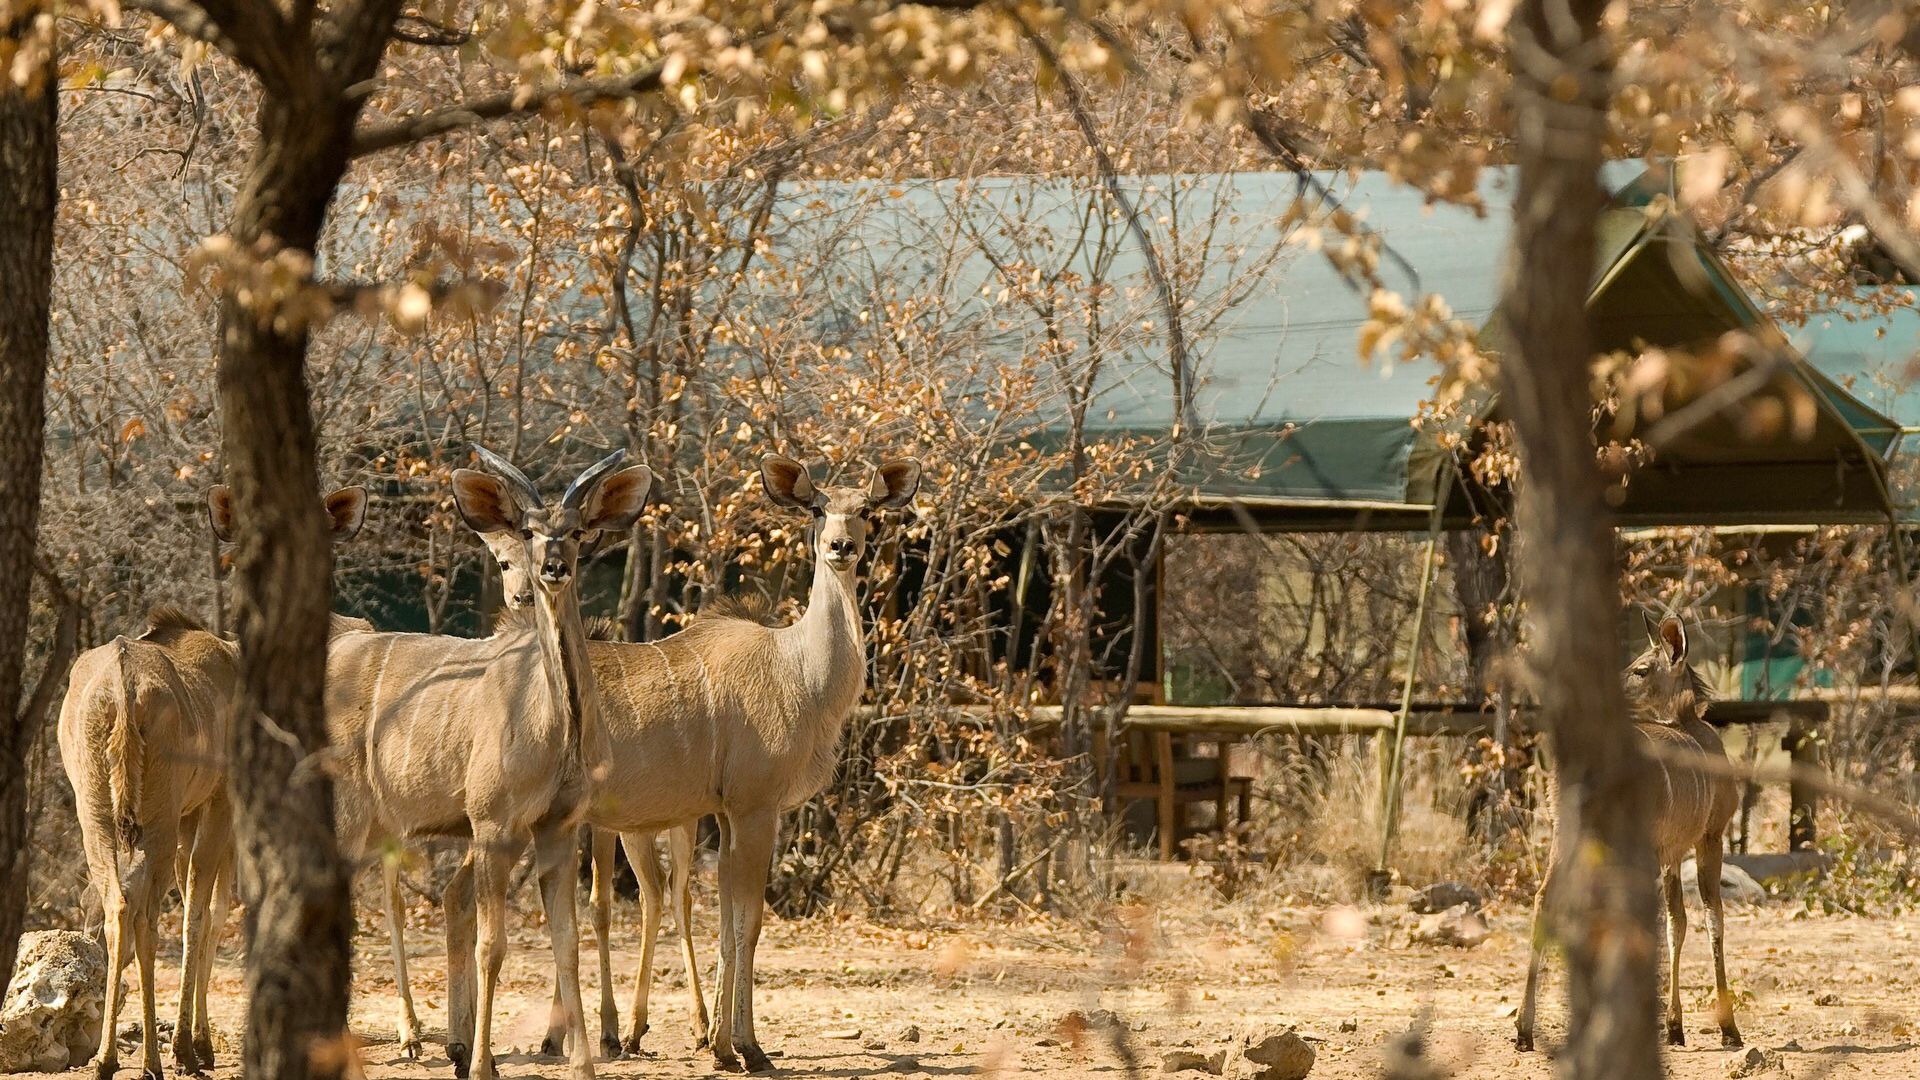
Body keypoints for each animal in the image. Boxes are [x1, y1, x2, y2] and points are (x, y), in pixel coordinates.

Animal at [60, 488, 366, 1076]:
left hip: (100, 814)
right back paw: (155, 1059)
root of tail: (123, 690)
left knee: (116, 905)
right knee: (148, 909)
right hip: (155, 817)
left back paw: (107, 1057)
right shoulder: (218, 804)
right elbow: (206, 911)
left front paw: (196, 1041)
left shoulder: (190, 814)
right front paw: (193, 1046)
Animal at [328, 445, 652, 1076]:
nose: (552, 569)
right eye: (527, 531)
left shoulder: (557, 828)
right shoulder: (493, 824)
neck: (555, 727)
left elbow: (566, 943)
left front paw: (581, 1062)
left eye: (578, 531)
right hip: (350, 820)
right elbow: (492, 945)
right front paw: (480, 1064)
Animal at [453, 447, 925, 1068]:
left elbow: (724, 918)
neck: (800, 671)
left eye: (866, 509)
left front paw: (720, 1044)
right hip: (502, 819)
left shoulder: (725, 813)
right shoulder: (754, 807)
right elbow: (748, 922)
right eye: (818, 508)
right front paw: (747, 1048)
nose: (841, 546)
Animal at [1520, 618, 1751, 1045]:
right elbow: (1711, 918)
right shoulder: (1709, 837)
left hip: (1568, 836)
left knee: (1546, 899)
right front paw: (1727, 1029)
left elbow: (1678, 922)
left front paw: (1675, 1027)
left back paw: (1524, 1030)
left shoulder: (1672, 852)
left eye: (1641, 669)